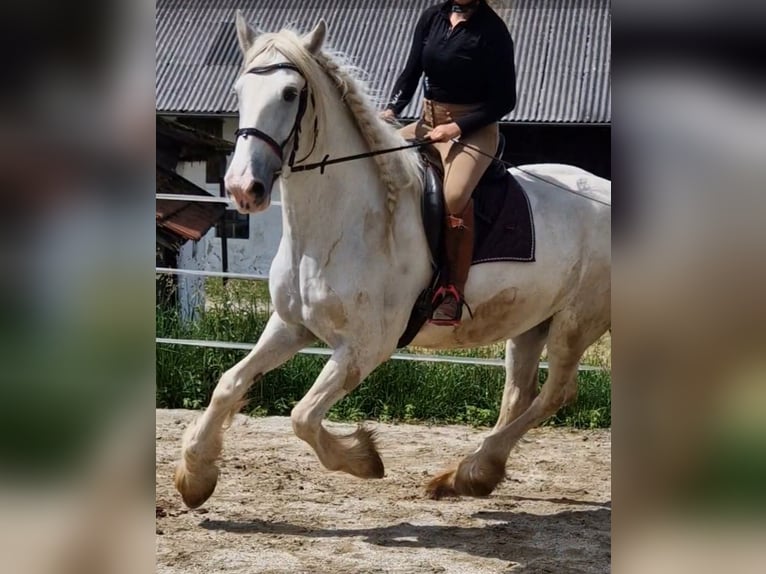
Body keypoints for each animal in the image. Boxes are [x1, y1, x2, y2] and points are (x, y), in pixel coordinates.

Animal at [176, 15, 612, 508]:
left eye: (290, 93)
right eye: (238, 90)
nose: (242, 188)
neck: (341, 226)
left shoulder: (365, 347)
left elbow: (302, 415)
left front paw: (363, 458)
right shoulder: (290, 325)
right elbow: (229, 384)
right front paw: (195, 476)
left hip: (577, 323)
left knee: (556, 393)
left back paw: (472, 471)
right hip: (532, 322)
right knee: (520, 395)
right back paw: (470, 475)